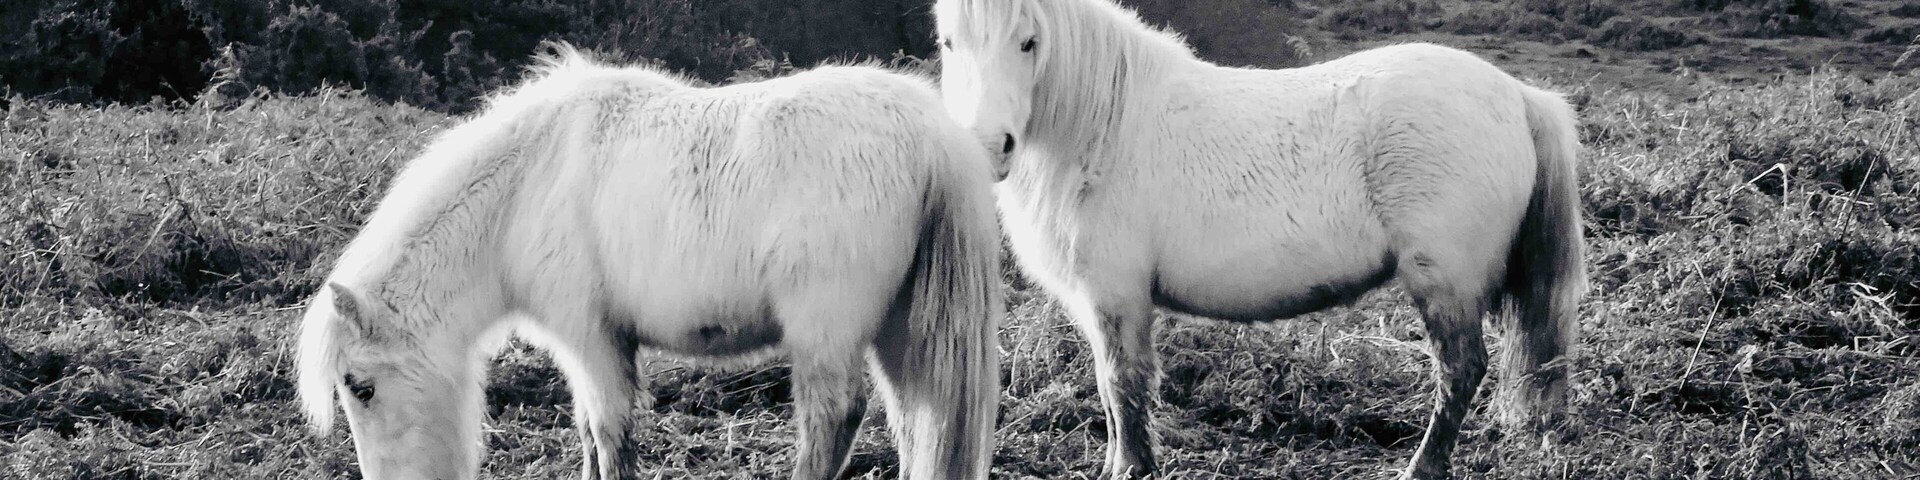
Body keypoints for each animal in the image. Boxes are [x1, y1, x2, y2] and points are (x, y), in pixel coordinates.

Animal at [294, 45, 1004, 480]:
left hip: (826, 334)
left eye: (360, 387)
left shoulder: (591, 340)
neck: (528, 182)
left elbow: (609, 437)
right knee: (916, 421)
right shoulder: (594, 347)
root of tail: (931, 133)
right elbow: (591, 433)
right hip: (900, 333)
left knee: (834, 419)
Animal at [932, 0, 1587, 478]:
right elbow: (1110, 387)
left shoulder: (1116, 296)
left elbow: (1124, 385)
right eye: (948, 43)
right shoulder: (1101, 303)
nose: (989, 146)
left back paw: (1422, 468)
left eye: (1028, 42)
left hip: (1445, 281)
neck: (1103, 130)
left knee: (1460, 370)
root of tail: (1516, 94)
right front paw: (1121, 462)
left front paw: (1131, 469)